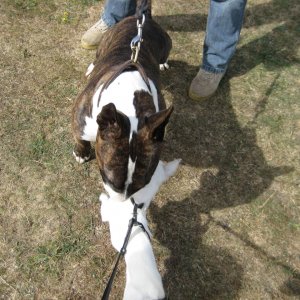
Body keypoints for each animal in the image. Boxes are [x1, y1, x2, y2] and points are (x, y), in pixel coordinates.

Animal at [71, 0, 172, 202]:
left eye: (144, 183)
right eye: (109, 180)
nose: (124, 203)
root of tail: (143, 18)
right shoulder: (79, 121)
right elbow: (80, 138)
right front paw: (81, 153)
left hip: (167, 44)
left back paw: (163, 63)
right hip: (105, 42)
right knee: (97, 56)